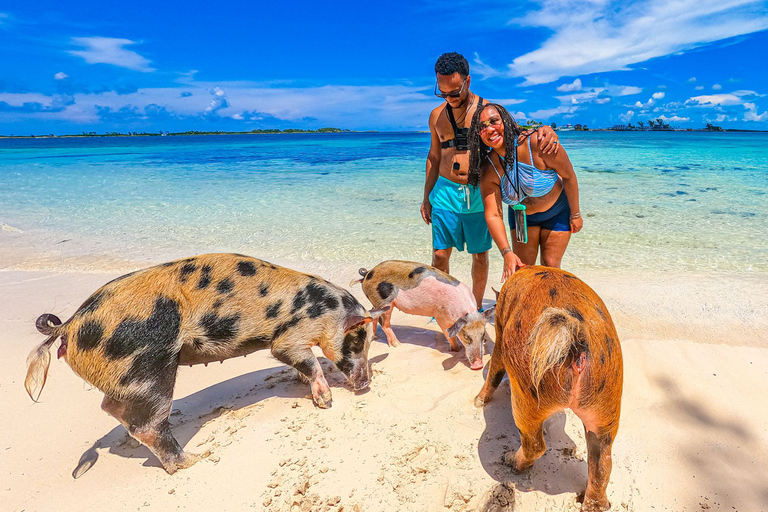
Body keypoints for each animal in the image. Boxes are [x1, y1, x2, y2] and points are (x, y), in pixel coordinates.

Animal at [25, 253, 387, 474]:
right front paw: (325, 401)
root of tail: (68, 326)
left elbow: (302, 367)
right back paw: (198, 459)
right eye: (357, 341)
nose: (365, 384)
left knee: (112, 407)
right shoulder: (288, 337)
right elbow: (307, 362)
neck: (327, 312)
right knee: (148, 424)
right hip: (151, 370)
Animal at [351, 260, 494, 370]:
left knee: (373, 314)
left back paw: (375, 337)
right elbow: (449, 335)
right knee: (384, 323)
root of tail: (367, 273)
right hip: (385, 303)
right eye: (466, 336)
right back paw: (398, 345)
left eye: (483, 336)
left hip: (377, 303)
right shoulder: (440, 316)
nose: (478, 365)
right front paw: (455, 349)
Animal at [474, 266, 623, 512]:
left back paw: (510, 461)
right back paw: (592, 504)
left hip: (528, 395)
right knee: (603, 461)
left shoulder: (500, 327)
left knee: (535, 444)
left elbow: (495, 368)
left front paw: (477, 401)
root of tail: (577, 337)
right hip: (607, 401)